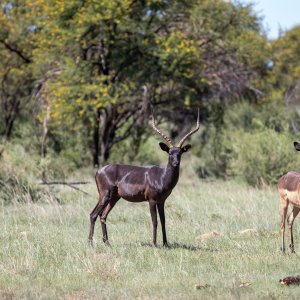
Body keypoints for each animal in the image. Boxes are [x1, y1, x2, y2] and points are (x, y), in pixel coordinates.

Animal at [88, 110, 199, 246]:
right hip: (105, 195)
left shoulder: (161, 201)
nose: (175, 163)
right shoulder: (151, 200)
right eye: (170, 153)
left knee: (103, 216)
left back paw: (107, 242)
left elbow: (163, 221)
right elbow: (155, 221)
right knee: (93, 214)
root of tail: (98, 171)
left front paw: (165, 244)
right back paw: (90, 242)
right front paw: (154, 244)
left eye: (180, 153)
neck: (162, 177)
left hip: (114, 198)